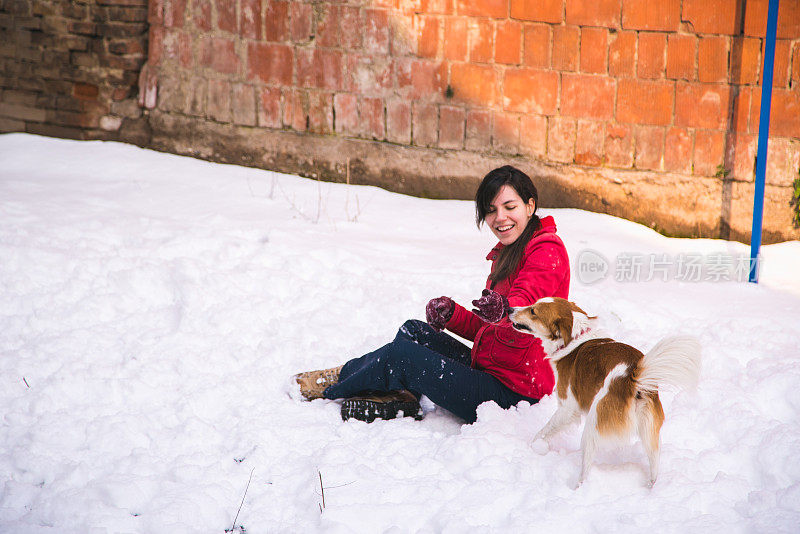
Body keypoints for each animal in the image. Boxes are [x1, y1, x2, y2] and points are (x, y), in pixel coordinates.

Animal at [506, 298, 700, 490]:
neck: (576, 337)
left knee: (586, 467)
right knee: (654, 463)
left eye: (533, 311)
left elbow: (543, 431)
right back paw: (650, 487)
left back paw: (578, 488)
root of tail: (632, 378)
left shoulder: (568, 408)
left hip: (592, 425)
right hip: (649, 431)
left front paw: (533, 447)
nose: (509, 309)